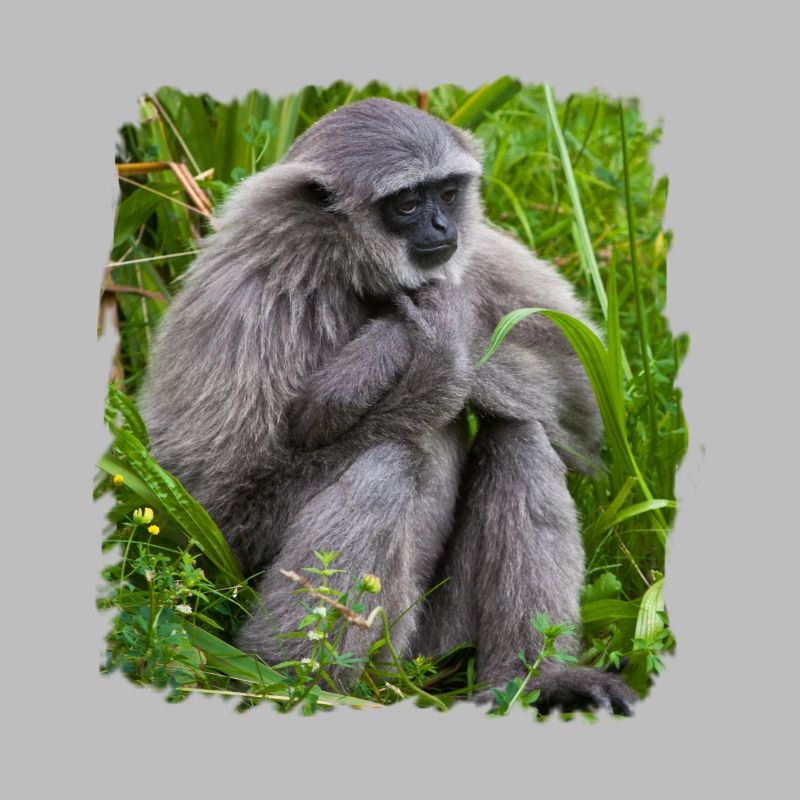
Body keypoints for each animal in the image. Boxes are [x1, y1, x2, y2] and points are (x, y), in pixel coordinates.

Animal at [139, 97, 637, 715]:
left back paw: (533, 678)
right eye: (407, 203)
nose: (443, 226)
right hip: (383, 640)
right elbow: (220, 506)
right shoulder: (246, 293)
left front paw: (400, 340)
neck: (347, 270)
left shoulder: (471, 251)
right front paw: (422, 362)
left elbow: (581, 398)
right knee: (388, 462)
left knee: (519, 433)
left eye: (446, 193)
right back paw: (297, 682)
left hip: (439, 639)